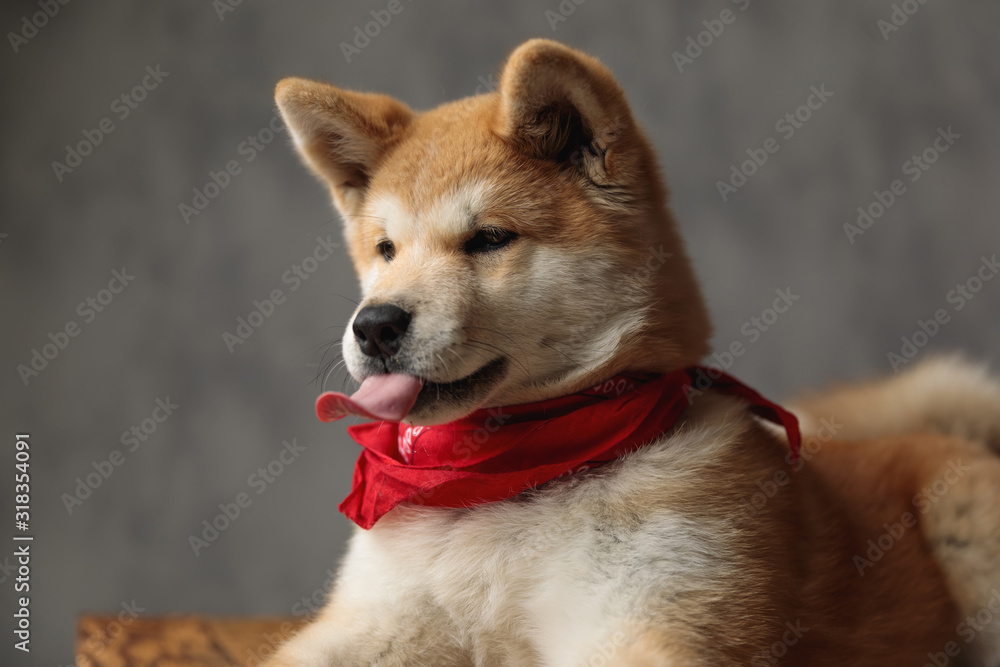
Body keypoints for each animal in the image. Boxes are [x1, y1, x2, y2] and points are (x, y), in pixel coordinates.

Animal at [266, 40, 1000, 667]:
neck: (501, 481)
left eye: (490, 238)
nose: (375, 325)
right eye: (385, 249)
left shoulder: (648, 617)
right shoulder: (375, 621)